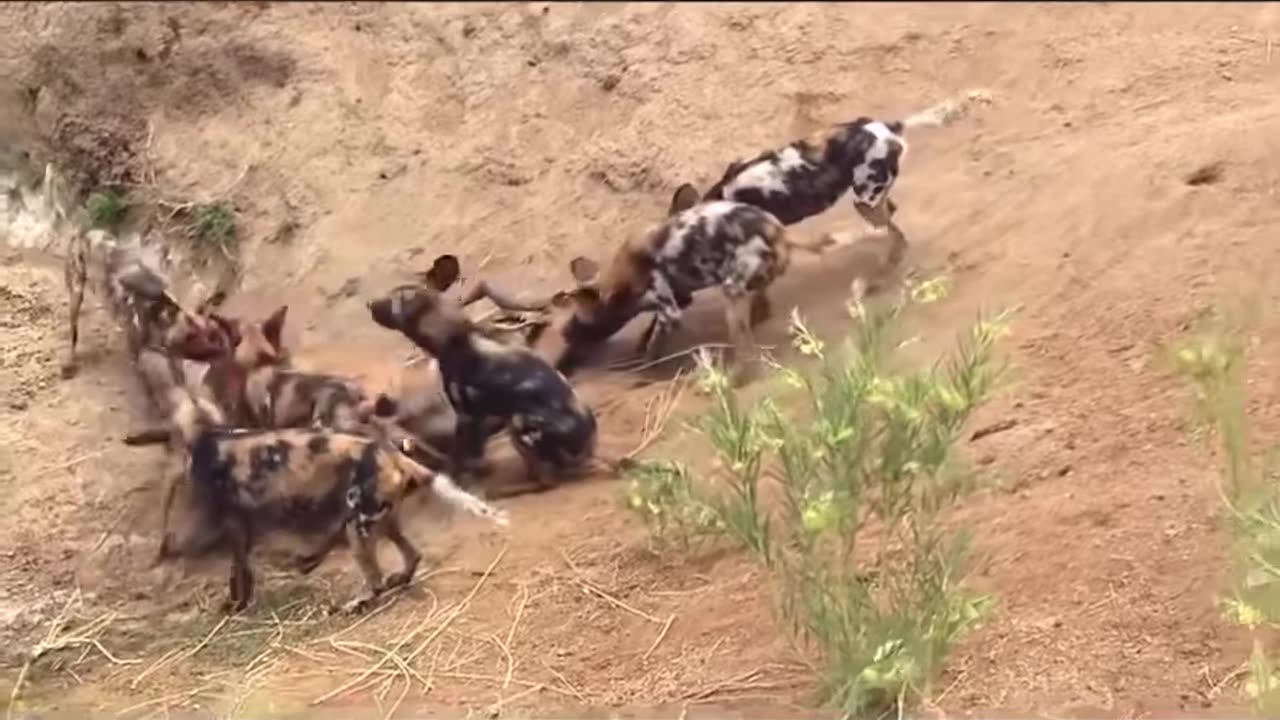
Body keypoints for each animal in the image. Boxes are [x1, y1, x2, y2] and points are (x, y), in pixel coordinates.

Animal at [128, 381, 509, 609]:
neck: (207, 434)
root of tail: (390, 453)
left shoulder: (234, 525)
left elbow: (239, 573)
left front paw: (236, 606)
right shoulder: (245, 526)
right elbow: (245, 571)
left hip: (359, 527)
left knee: (374, 580)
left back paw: (357, 603)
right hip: (382, 520)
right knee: (411, 556)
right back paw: (391, 578)